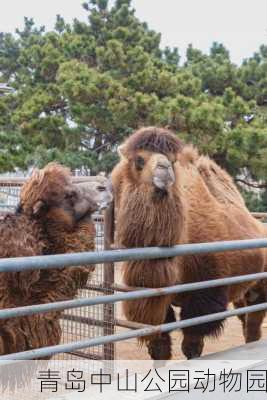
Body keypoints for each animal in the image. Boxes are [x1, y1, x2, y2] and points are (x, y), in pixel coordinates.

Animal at [111, 127, 266, 360]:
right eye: (139, 160)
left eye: (172, 160)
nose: (165, 169)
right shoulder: (155, 301)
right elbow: (159, 347)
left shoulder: (204, 298)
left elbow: (192, 347)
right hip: (244, 291)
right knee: (246, 320)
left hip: (261, 288)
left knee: (254, 324)